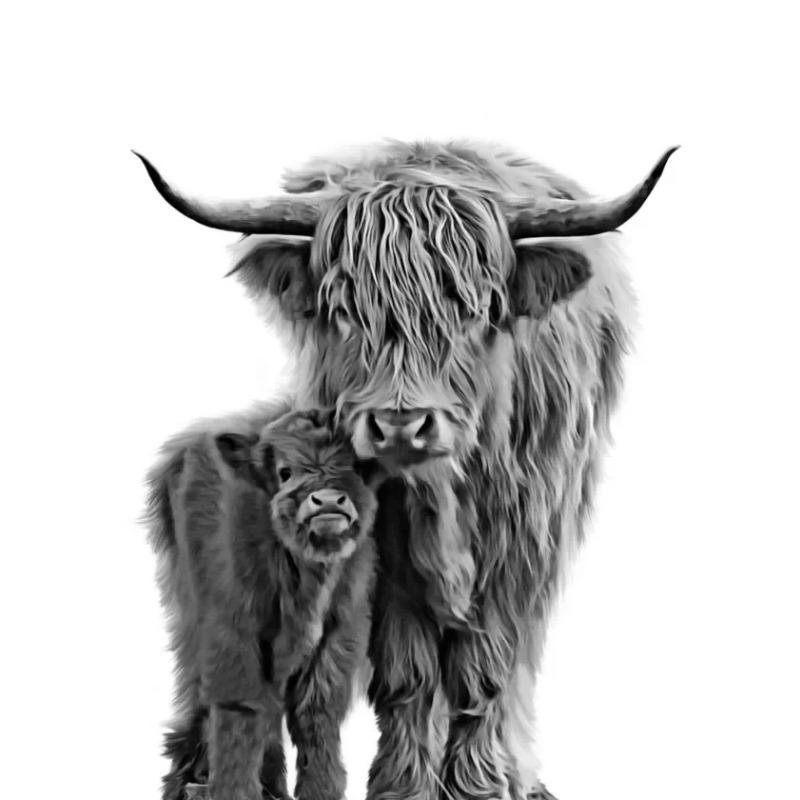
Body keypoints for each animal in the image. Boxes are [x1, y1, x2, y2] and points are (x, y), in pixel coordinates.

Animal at [146, 407, 380, 800]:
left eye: (356, 467)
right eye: (285, 471)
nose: (328, 501)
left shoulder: (339, 635)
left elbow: (316, 713)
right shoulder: (235, 633)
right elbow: (240, 709)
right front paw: (232, 791)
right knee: (201, 691)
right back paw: (190, 781)